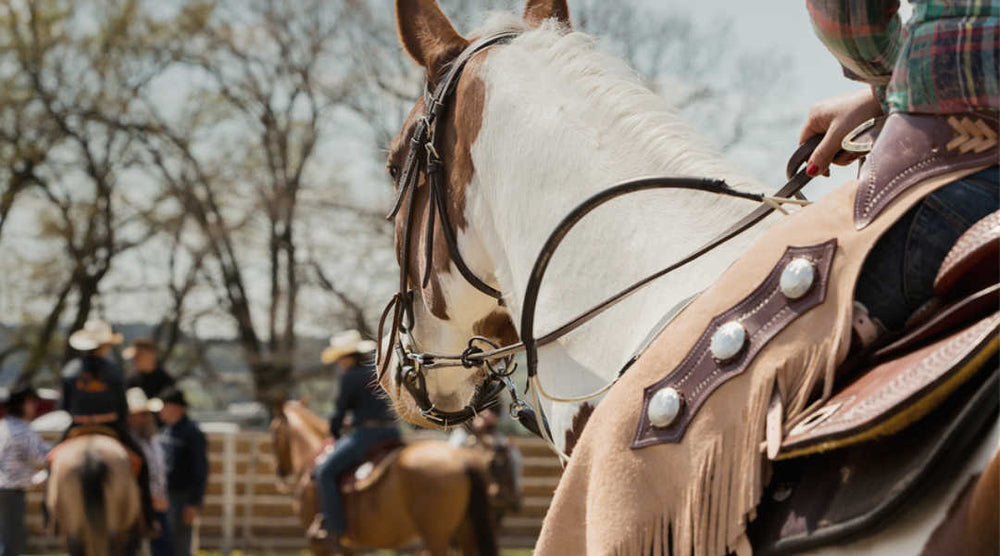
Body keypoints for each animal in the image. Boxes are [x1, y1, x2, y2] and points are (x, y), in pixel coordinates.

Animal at [270, 400, 500, 556]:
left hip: (437, 537)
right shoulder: (347, 545)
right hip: (466, 532)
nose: (280, 470)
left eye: (273, 431)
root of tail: (461, 458)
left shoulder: (319, 545)